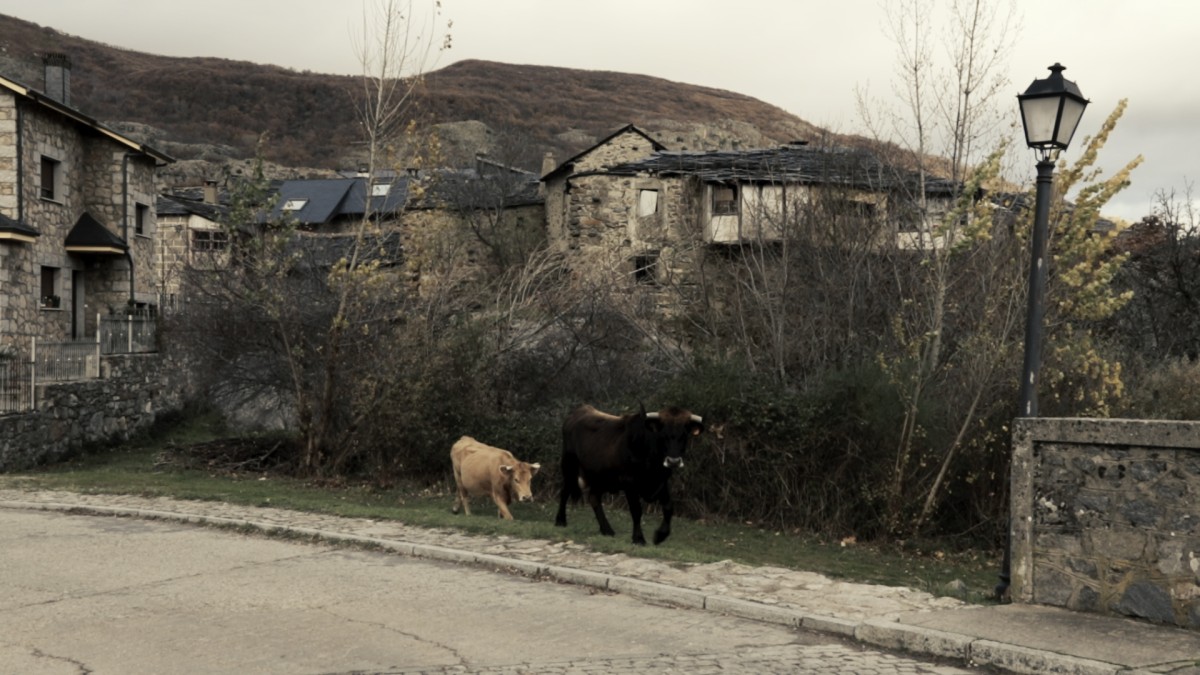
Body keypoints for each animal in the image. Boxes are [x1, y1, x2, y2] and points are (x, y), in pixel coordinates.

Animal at [552, 401, 700, 542]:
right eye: (662, 435)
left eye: (684, 436)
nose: (673, 461)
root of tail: (578, 412)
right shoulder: (630, 483)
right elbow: (636, 510)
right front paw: (638, 538)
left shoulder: (661, 483)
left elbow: (669, 507)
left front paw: (660, 536)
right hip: (569, 466)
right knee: (565, 492)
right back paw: (560, 520)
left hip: (601, 478)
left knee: (593, 498)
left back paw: (607, 530)